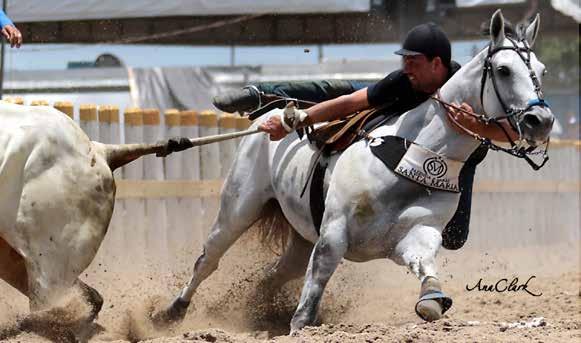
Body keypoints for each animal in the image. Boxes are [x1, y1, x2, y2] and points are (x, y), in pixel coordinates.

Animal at [154, 10, 552, 334]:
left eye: (542, 71)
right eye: (503, 69)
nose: (542, 121)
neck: (410, 157)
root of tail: (268, 116)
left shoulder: (416, 235)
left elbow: (426, 271)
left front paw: (432, 299)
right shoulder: (333, 234)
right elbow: (310, 300)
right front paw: (300, 326)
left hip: (301, 237)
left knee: (272, 276)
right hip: (239, 208)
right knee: (208, 259)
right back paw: (170, 314)